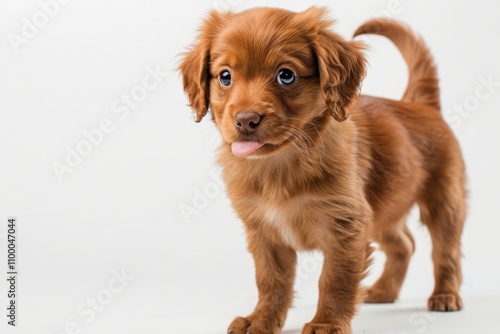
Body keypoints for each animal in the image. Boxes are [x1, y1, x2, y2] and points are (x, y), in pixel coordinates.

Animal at [179, 5, 464, 334]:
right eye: (225, 76)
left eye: (286, 75)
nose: (246, 120)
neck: (280, 164)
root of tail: (419, 104)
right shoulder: (263, 231)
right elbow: (270, 281)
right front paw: (261, 319)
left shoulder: (346, 225)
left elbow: (335, 279)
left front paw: (327, 323)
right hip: (385, 206)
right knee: (404, 244)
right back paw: (384, 292)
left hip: (444, 202)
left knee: (445, 251)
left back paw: (445, 295)